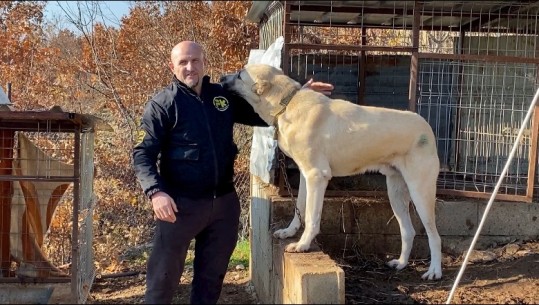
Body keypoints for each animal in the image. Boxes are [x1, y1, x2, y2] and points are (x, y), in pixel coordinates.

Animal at [223, 64, 442, 280]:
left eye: (240, 75)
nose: (221, 78)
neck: (287, 103)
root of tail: (427, 127)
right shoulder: (306, 177)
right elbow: (300, 209)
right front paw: (289, 232)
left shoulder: (317, 176)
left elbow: (312, 217)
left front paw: (303, 245)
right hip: (396, 194)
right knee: (408, 231)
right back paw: (402, 263)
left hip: (420, 193)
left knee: (434, 235)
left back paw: (434, 271)